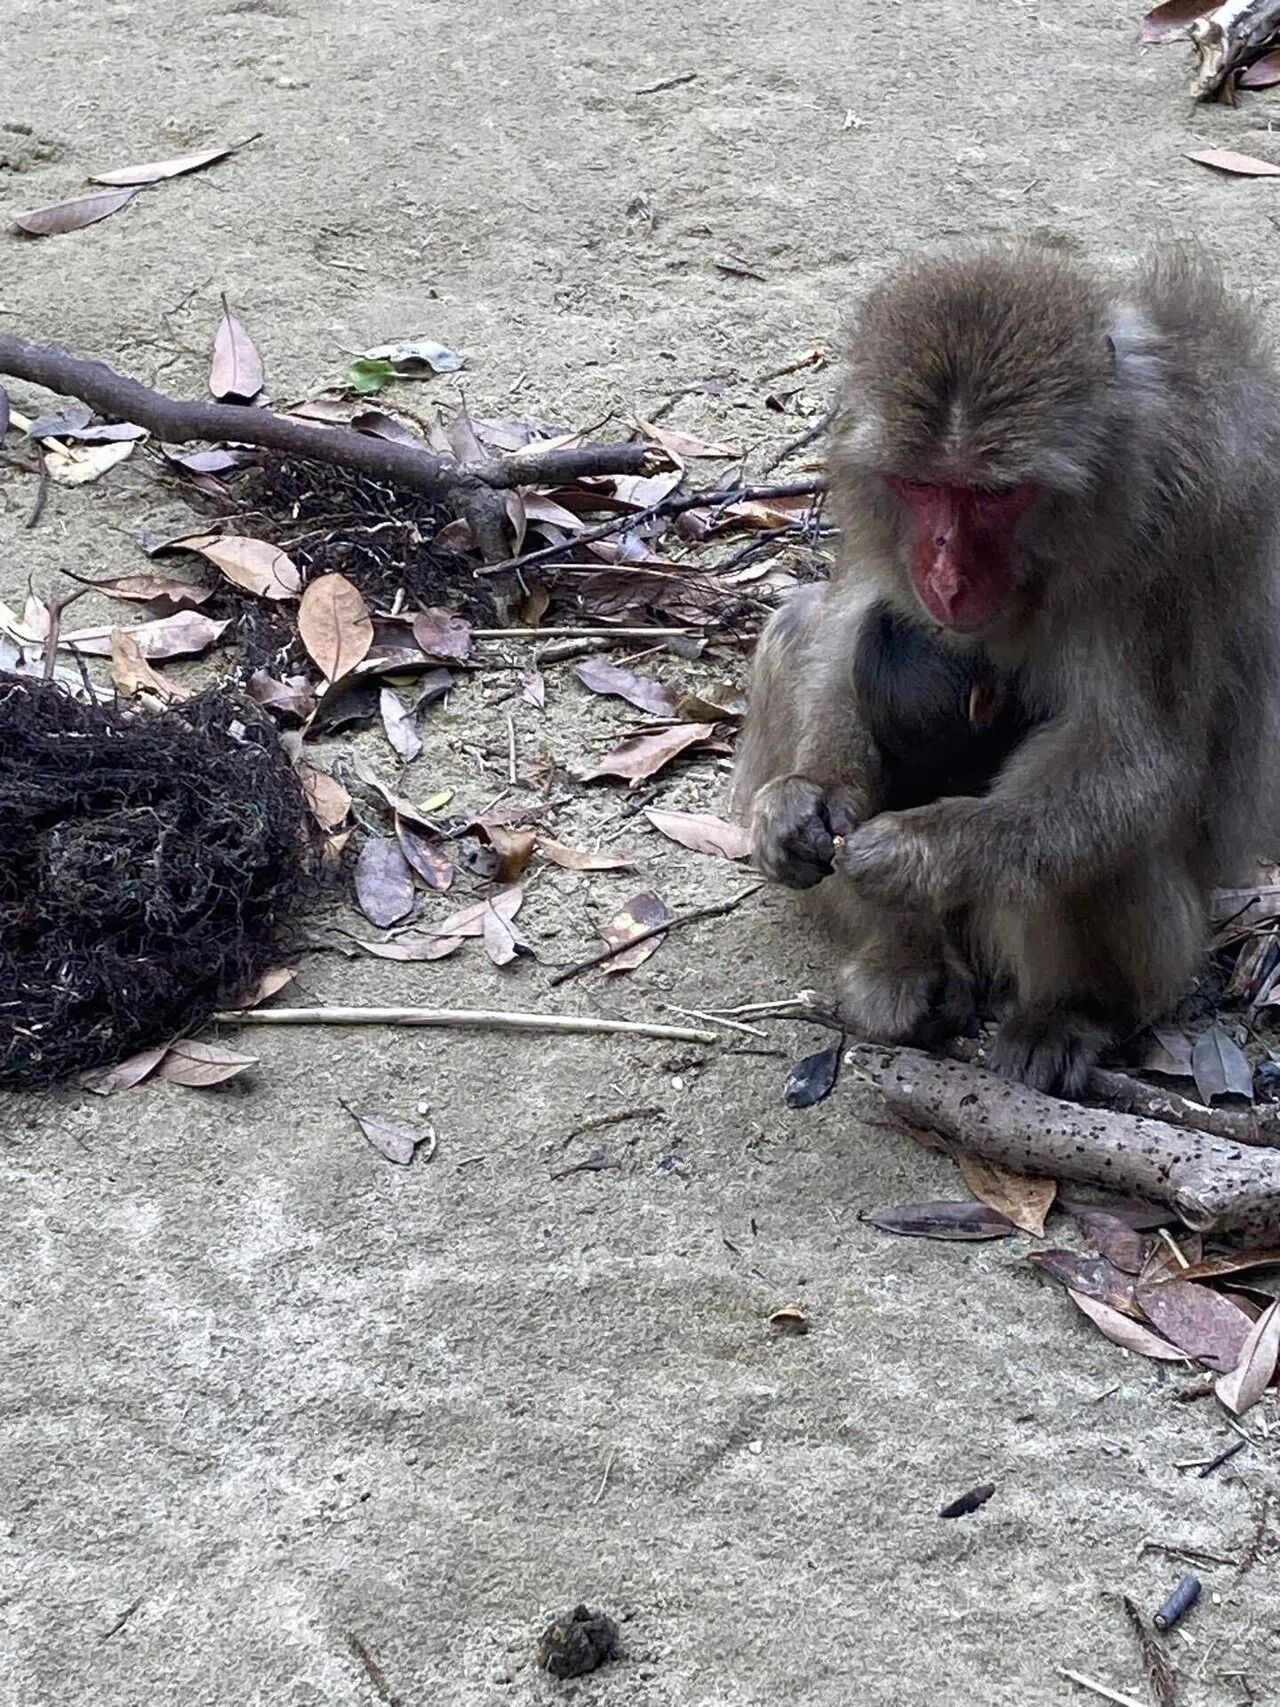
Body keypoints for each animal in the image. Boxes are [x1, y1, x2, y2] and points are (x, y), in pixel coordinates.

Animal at [734, 241, 1280, 1096]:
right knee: (797, 631)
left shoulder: (1175, 533)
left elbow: (1137, 759)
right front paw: (802, 798)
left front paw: (924, 850)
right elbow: (848, 617)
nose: (947, 575)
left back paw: (1070, 1012)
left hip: (1168, 947)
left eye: (996, 495)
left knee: (1096, 847)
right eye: (921, 486)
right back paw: (902, 965)